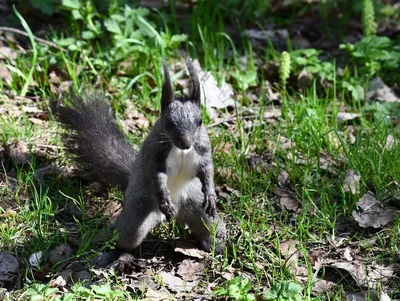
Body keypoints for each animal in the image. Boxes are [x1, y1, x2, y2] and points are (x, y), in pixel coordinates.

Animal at [52, 56, 227, 253]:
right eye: (168, 123)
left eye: (200, 121)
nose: (186, 144)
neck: (179, 149)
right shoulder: (154, 153)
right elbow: (157, 174)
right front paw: (164, 200)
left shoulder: (203, 148)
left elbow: (207, 169)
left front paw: (211, 194)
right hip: (139, 209)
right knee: (127, 235)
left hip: (195, 204)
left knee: (211, 227)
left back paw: (214, 245)